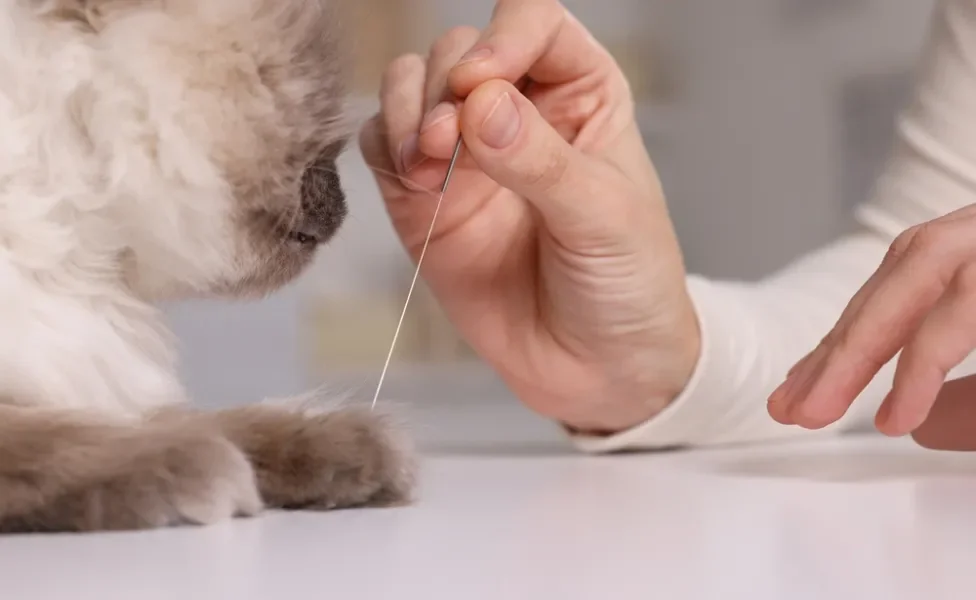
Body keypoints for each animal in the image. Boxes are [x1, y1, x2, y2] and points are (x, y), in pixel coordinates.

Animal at [0, 0, 416, 536]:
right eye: (309, 92)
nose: (338, 208)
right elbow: (69, 440)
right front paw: (196, 470)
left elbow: (220, 422)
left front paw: (351, 448)